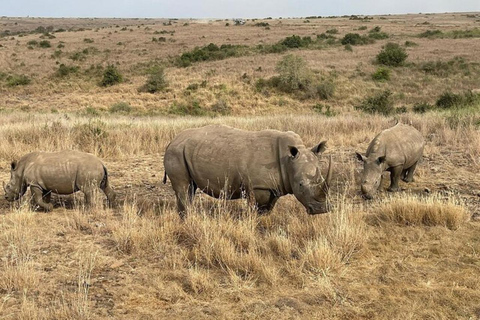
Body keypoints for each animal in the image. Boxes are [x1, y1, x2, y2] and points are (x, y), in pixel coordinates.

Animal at [163, 125, 332, 218]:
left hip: (186, 151)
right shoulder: (257, 186)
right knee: (183, 188)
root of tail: (171, 141)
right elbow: (254, 209)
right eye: (301, 185)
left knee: (190, 188)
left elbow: (266, 209)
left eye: (322, 180)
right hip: (176, 152)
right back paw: (187, 219)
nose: (321, 210)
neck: (288, 160)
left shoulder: (273, 187)